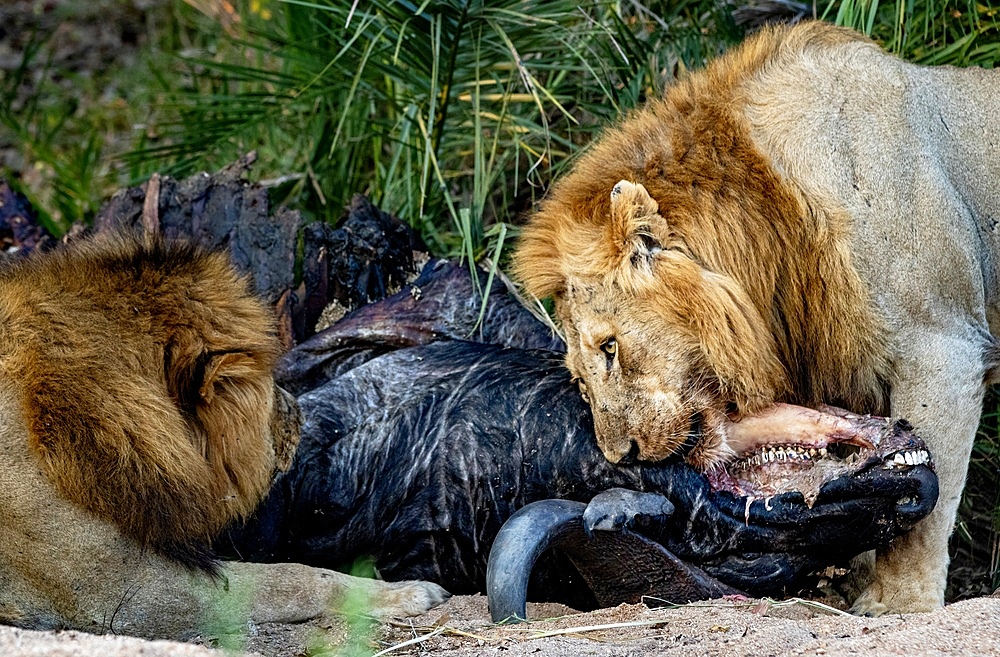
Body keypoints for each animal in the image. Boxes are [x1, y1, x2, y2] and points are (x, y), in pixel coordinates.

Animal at [512, 20, 1000, 616]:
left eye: (610, 347)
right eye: (579, 379)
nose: (622, 455)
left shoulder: (943, 348)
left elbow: (925, 501)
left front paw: (899, 604)